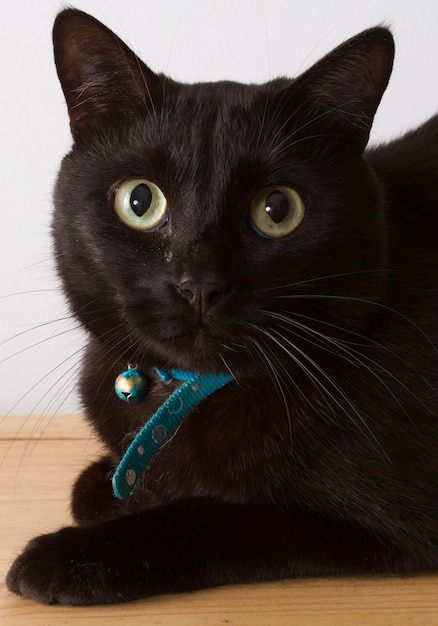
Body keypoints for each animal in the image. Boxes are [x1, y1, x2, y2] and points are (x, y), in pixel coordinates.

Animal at [6, 7, 438, 604]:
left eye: (277, 208)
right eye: (139, 201)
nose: (200, 285)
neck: (189, 389)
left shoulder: (385, 520)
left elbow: (213, 518)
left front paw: (71, 557)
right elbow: (95, 486)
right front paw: (109, 489)